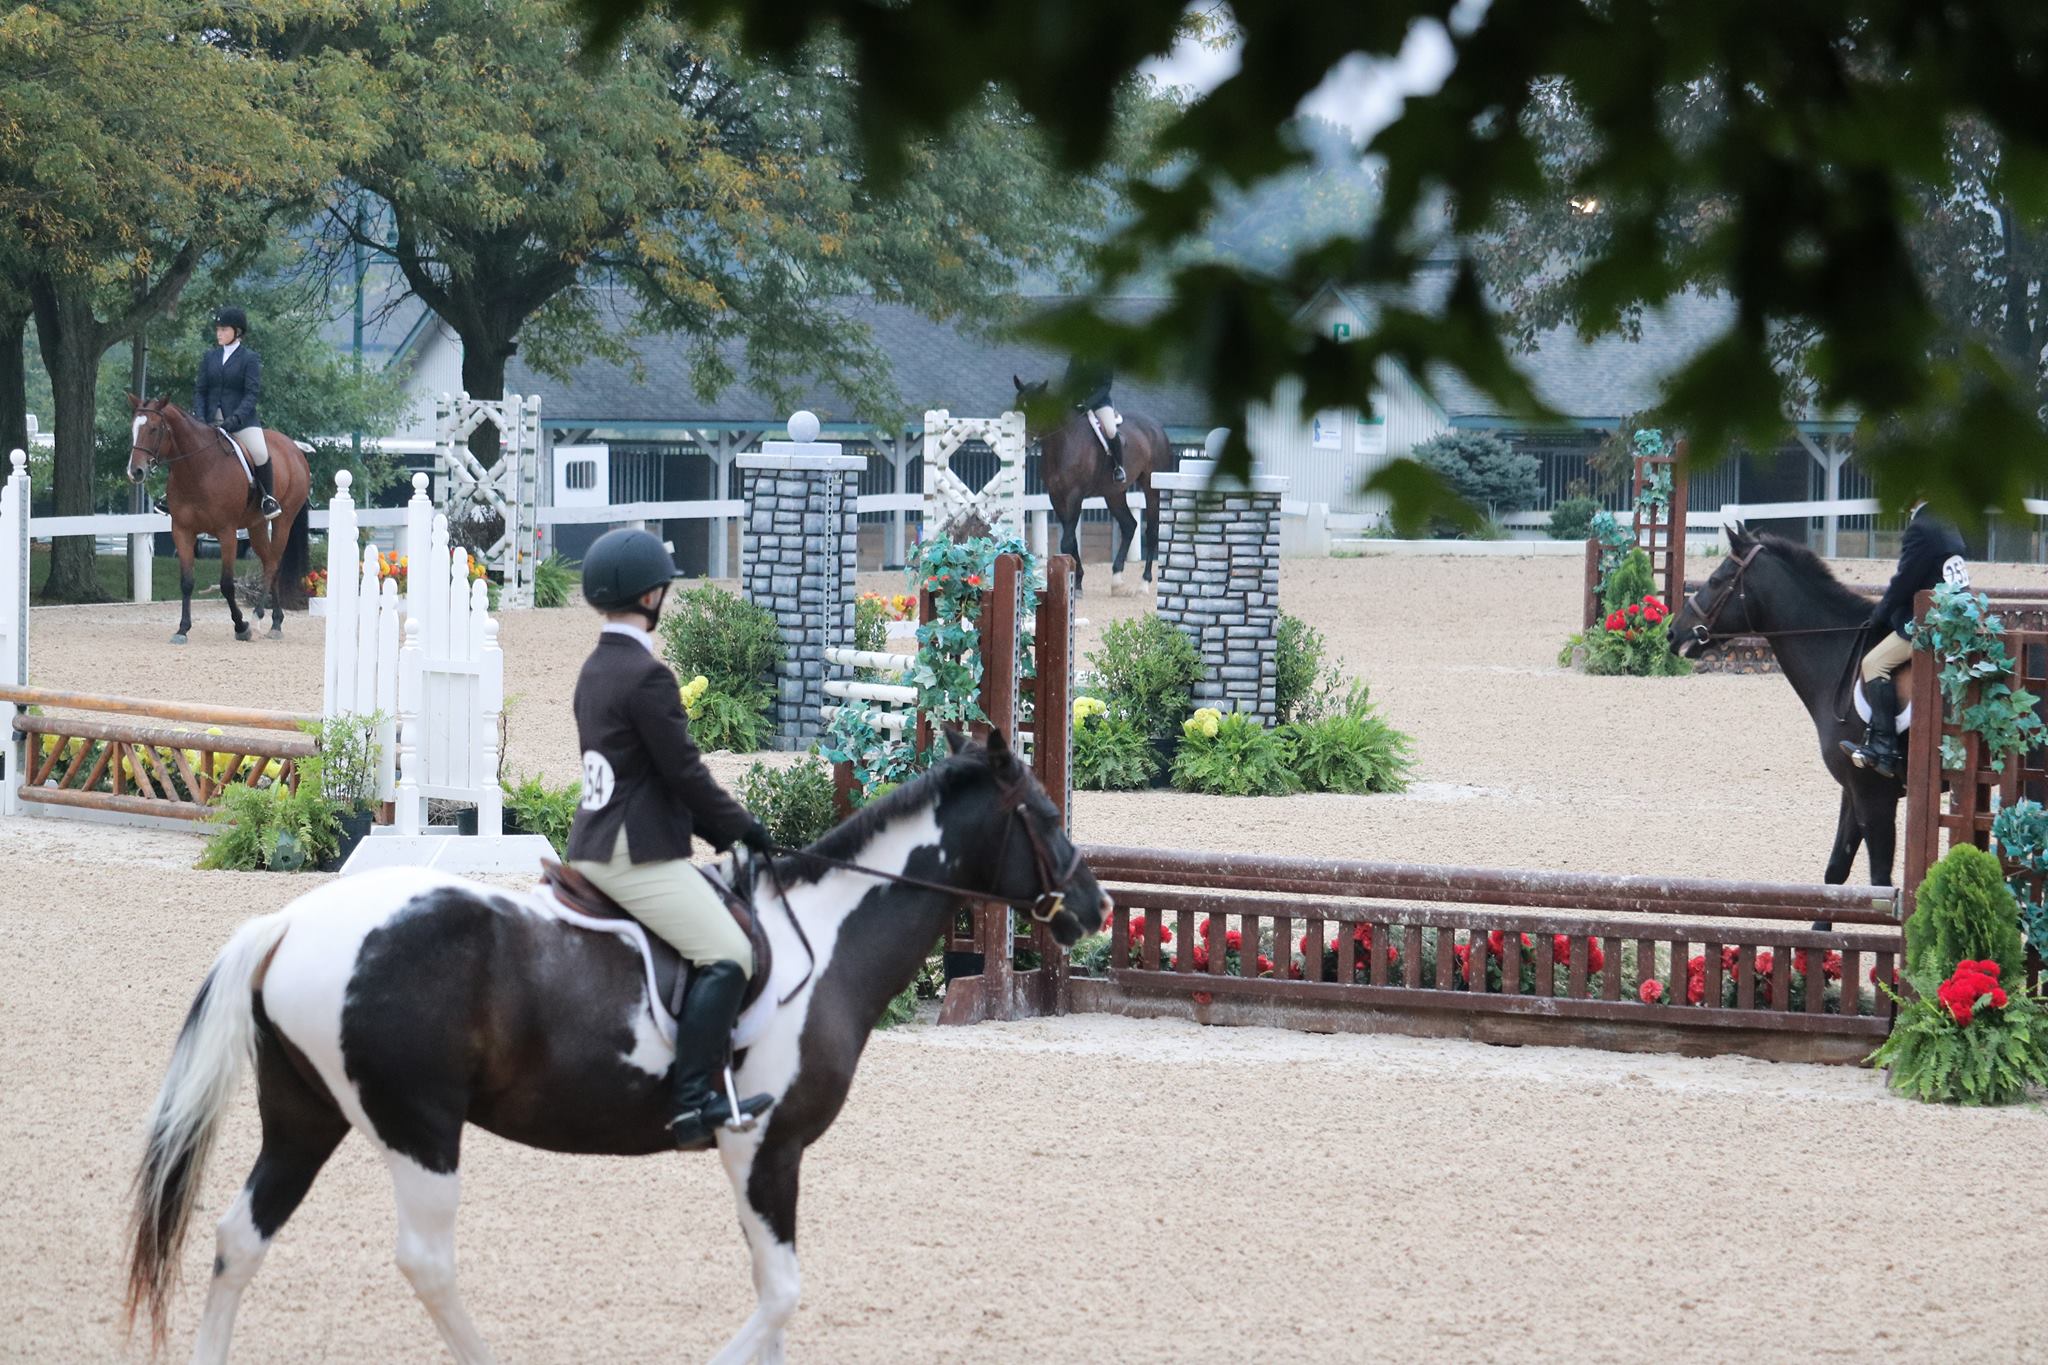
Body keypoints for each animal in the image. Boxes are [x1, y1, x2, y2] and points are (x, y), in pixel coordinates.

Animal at [123, 736, 1105, 1365]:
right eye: (1045, 813)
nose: (1094, 906)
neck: (827, 938)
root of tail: (288, 922)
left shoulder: (764, 1156)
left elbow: (776, 1304)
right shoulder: (764, 1145)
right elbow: (780, 1295)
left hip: (305, 1118)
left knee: (239, 1238)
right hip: (419, 1129)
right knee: (426, 1262)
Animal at [128, 397, 309, 650]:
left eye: (154, 429)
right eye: (133, 429)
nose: (135, 471)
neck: (198, 468)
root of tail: (294, 447)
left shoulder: (227, 533)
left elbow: (226, 584)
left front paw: (241, 627)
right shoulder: (182, 531)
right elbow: (186, 582)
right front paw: (182, 629)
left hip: (283, 520)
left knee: (274, 563)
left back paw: (259, 616)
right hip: (256, 526)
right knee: (269, 562)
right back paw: (275, 622)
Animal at [1015, 376, 1179, 593]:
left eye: (1038, 410)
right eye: (1017, 407)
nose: (1023, 444)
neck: (1064, 442)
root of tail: (1157, 428)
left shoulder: (1075, 495)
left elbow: (1067, 541)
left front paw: (1073, 583)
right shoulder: (1056, 497)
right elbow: (1072, 540)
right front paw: (1077, 580)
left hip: (1152, 489)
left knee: (1151, 531)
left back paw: (1144, 583)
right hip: (1114, 494)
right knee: (1129, 525)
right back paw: (1116, 579)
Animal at [1662, 523, 1900, 888]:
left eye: (1715, 580)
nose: (1672, 633)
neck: (1840, 654)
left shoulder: (1874, 794)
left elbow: (1881, 882)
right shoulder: (1852, 787)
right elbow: (1835, 871)